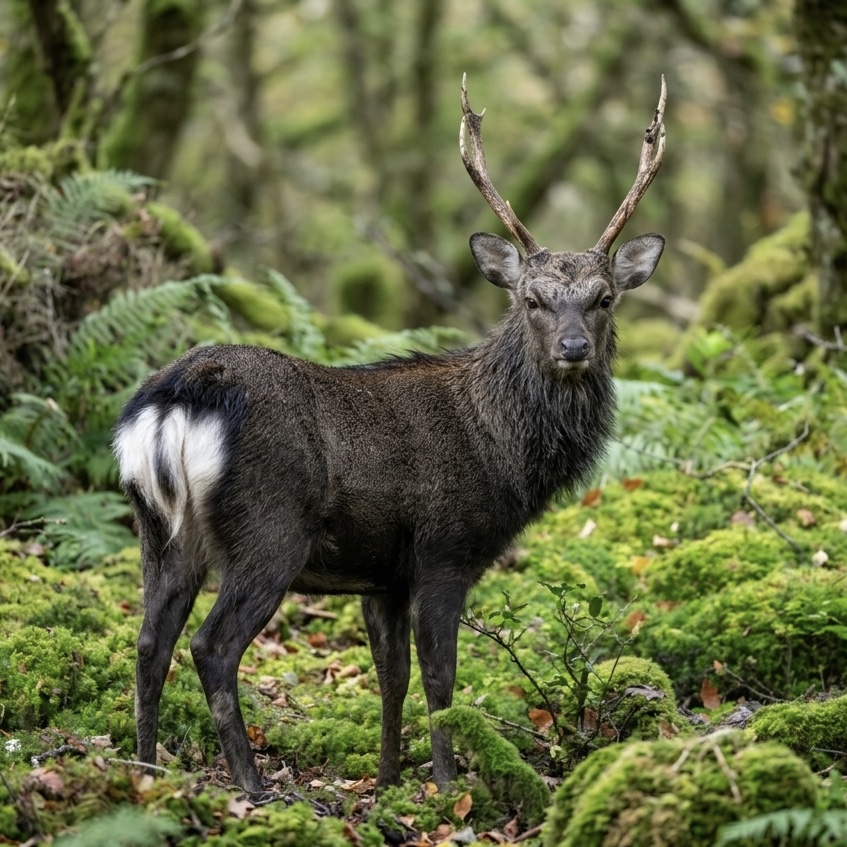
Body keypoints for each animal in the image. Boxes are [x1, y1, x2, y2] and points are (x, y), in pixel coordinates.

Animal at [113, 75, 667, 794]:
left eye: (603, 298)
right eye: (532, 299)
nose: (573, 348)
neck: (500, 449)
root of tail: (177, 398)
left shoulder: (382, 577)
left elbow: (391, 678)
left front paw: (386, 780)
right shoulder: (444, 550)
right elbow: (440, 678)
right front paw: (449, 783)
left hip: (158, 528)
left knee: (149, 641)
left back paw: (146, 768)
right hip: (268, 527)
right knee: (211, 645)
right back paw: (251, 784)